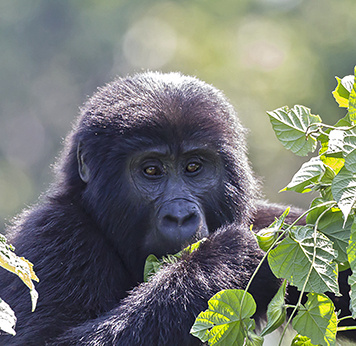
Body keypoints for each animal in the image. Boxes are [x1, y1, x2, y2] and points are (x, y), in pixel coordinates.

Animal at [0, 71, 344, 344]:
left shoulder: (271, 222)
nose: (180, 216)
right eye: (151, 170)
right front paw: (226, 260)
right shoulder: (52, 237)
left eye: (193, 167)